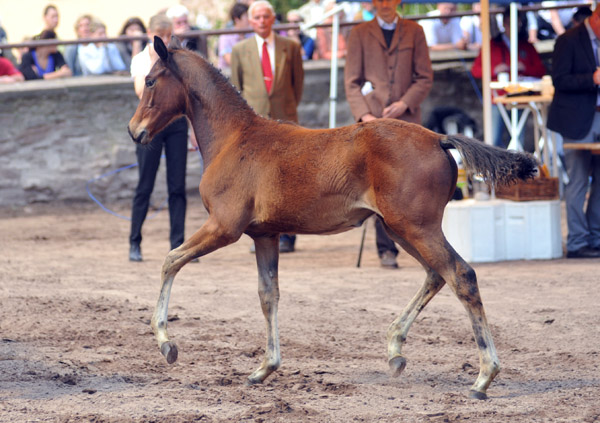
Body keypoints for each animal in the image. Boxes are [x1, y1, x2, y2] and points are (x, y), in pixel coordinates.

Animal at [127, 37, 540, 400]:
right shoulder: (265, 235)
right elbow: (268, 294)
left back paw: (483, 377)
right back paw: (395, 351)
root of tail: (439, 138)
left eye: (150, 80)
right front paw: (265, 368)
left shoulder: (224, 227)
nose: (134, 131)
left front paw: (166, 343)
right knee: (436, 275)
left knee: (461, 275)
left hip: (416, 228)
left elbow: (171, 261)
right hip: (401, 229)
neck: (235, 138)